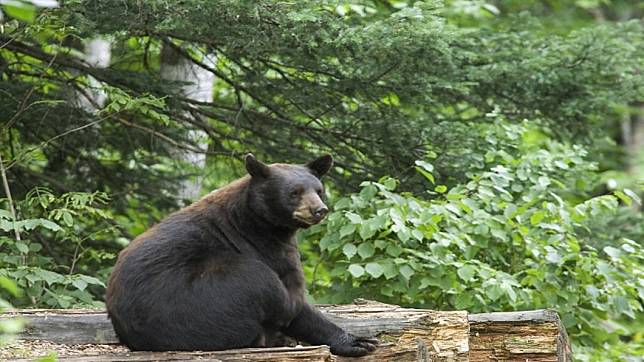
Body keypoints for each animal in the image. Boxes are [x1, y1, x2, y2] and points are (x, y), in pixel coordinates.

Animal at [105, 153, 378, 356]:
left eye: (319, 190)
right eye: (295, 192)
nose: (319, 210)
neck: (261, 223)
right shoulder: (266, 248)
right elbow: (295, 300)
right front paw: (356, 341)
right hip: (204, 298)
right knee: (262, 283)